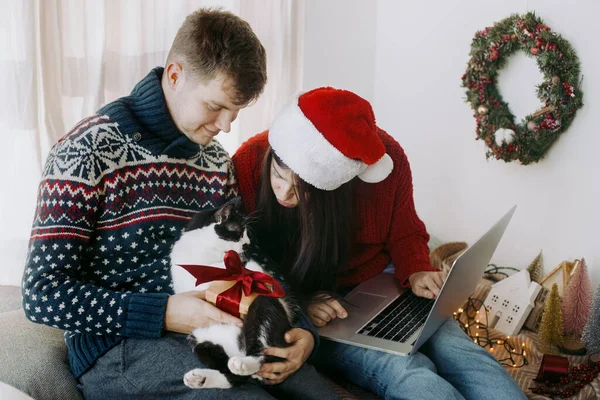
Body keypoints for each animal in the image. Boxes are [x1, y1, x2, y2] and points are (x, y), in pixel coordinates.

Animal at [170, 198, 296, 390]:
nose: (248, 243)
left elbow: (251, 270)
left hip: (264, 308)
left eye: (247, 233)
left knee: (263, 354)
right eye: (240, 232)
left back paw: (241, 364)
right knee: (230, 375)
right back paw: (200, 378)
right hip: (199, 339)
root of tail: (240, 348)